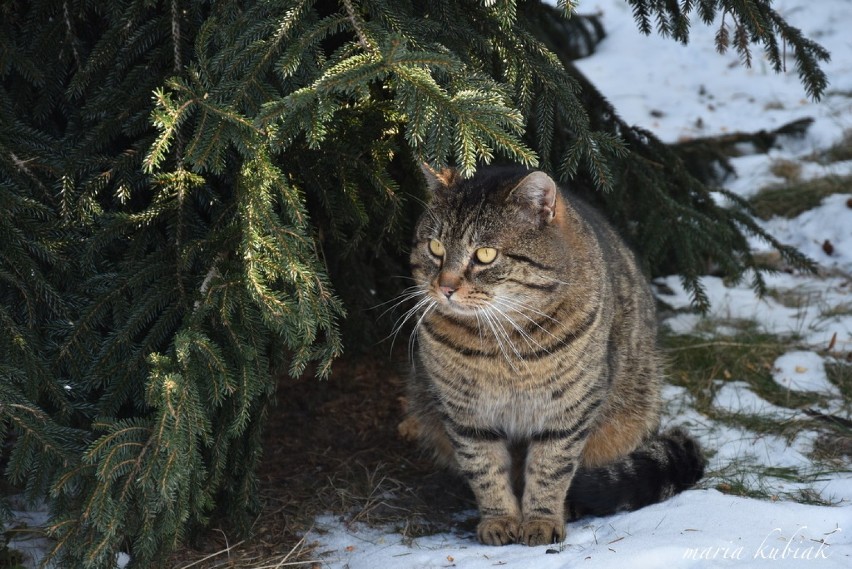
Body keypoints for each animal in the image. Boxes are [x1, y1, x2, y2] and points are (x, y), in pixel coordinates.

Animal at [402, 164, 704, 544]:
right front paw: (500, 520)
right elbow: (484, 467)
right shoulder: (464, 411)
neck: (501, 343)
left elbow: (550, 468)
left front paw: (540, 521)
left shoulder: (568, 408)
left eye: (485, 254)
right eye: (435, 246)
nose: (445, 287)